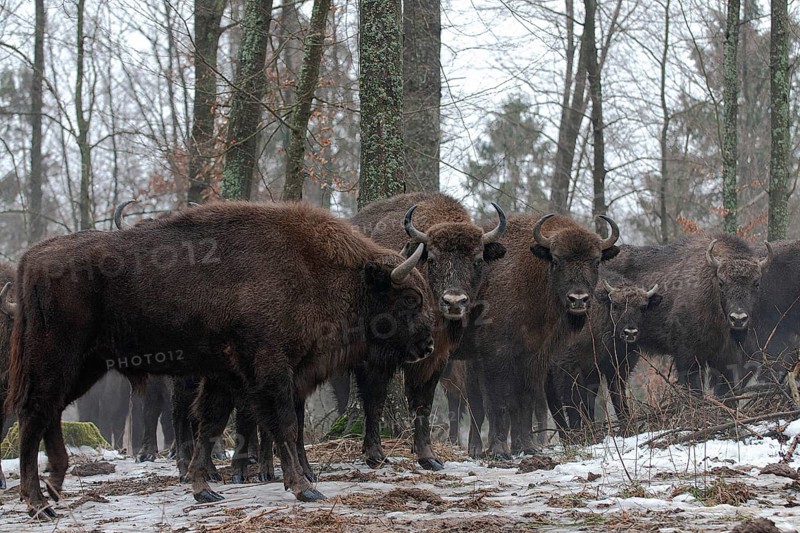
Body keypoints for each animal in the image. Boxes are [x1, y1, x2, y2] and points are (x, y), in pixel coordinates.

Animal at [5, 201, 434, 518]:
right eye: (409, 297)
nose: (428, 345)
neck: (315, 269)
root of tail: (31, 259)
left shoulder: (225, 375)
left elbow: (210, 424)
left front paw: (204, 489)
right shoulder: (272, 369)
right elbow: (284, 425)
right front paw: (304, 488)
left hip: (85, 367)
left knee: (48, 413)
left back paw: (54, 488)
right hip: (57, 359)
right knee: (34, 414)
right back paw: (38, 504)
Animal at [455, 212, 620, 459]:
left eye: (596, 261)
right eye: (557, 260)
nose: (578, 299)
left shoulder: (534, 359)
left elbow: (525, 402)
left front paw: (527, 447)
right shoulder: (497, 355)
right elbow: (499, 404)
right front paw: (500, 450)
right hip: (473, 362)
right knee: (476, 401)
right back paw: (476, 449)